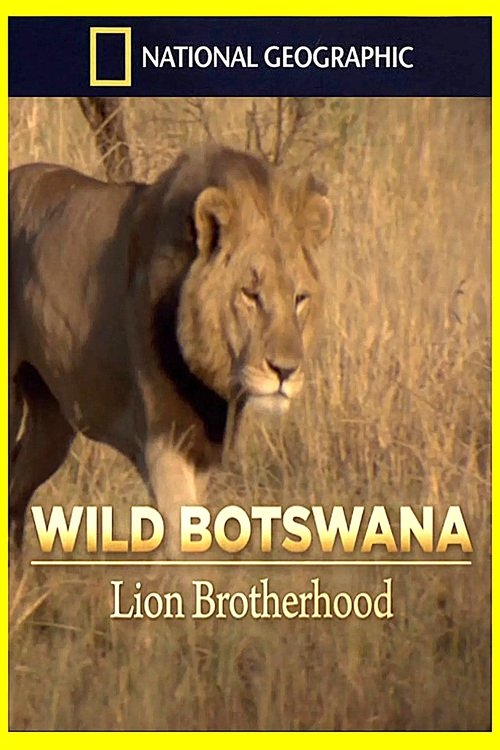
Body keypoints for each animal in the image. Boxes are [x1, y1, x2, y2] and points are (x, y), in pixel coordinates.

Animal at [9, 145, 333, 546]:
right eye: (250, 294)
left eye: (300, 299)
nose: (285, 371)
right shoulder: (164, 441)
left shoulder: (204, 448)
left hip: (52, 421)